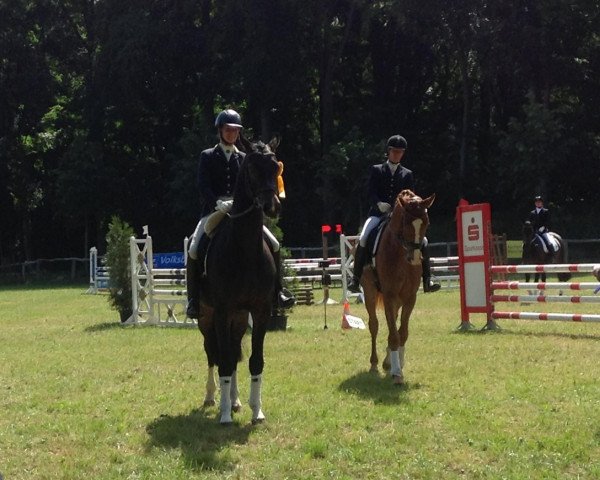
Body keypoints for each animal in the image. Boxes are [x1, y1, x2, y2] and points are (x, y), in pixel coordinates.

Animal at [197, 135, 282, 424]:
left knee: (233, 353)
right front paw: (224, 415)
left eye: (276, 167)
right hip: (207, 317)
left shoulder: (260, 311)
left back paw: (234, 400)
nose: (272, 207)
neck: (244, 250)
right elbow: (222, 360)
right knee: (212, 354)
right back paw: (213, 397)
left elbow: (255, 360)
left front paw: (257, 410)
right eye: (253, 168)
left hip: (239, 318)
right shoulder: (222, 312)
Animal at [358, 189, 434, 384]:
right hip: (370, 293)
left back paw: (387, 362)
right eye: (406, 222)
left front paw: (398, 363)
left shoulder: (410, 297)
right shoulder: (389, 295)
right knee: (374, 325)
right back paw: (375, 364)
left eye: (426, 223)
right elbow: (393, 334)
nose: (415, 259)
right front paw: (397, 373)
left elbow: (402, 332)